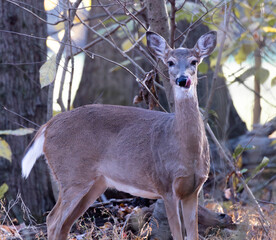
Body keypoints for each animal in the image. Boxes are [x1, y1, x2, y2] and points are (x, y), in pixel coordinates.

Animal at [21, 30, 217, 240]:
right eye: (170, 62)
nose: (182, 80)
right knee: (52, 219)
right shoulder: (166, 185)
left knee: (64, 224)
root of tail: (47, 126)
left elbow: (193, 234)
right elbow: (178, 234)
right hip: (72, 174)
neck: (185, 150)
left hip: (95, 183)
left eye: (194, 61)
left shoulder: (193, 189)